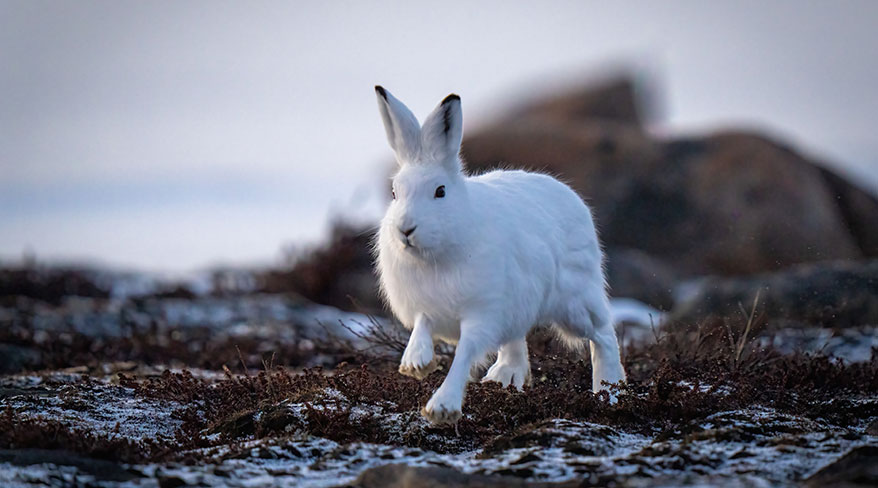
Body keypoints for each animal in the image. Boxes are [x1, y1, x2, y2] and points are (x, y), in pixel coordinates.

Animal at [373, 86, 626, 425]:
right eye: (394, 193)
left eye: (440, 191)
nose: (405, 229)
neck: (436, 254)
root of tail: (572, 198)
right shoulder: (424, 306)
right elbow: (421, 327)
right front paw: (416, 363)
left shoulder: (483, 312)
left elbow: (464, 353)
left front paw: (441, 407)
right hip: (520, 302)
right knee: (516, 337)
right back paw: (505, 376)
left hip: (574, 301)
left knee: (603, 334)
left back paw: (609, 390)